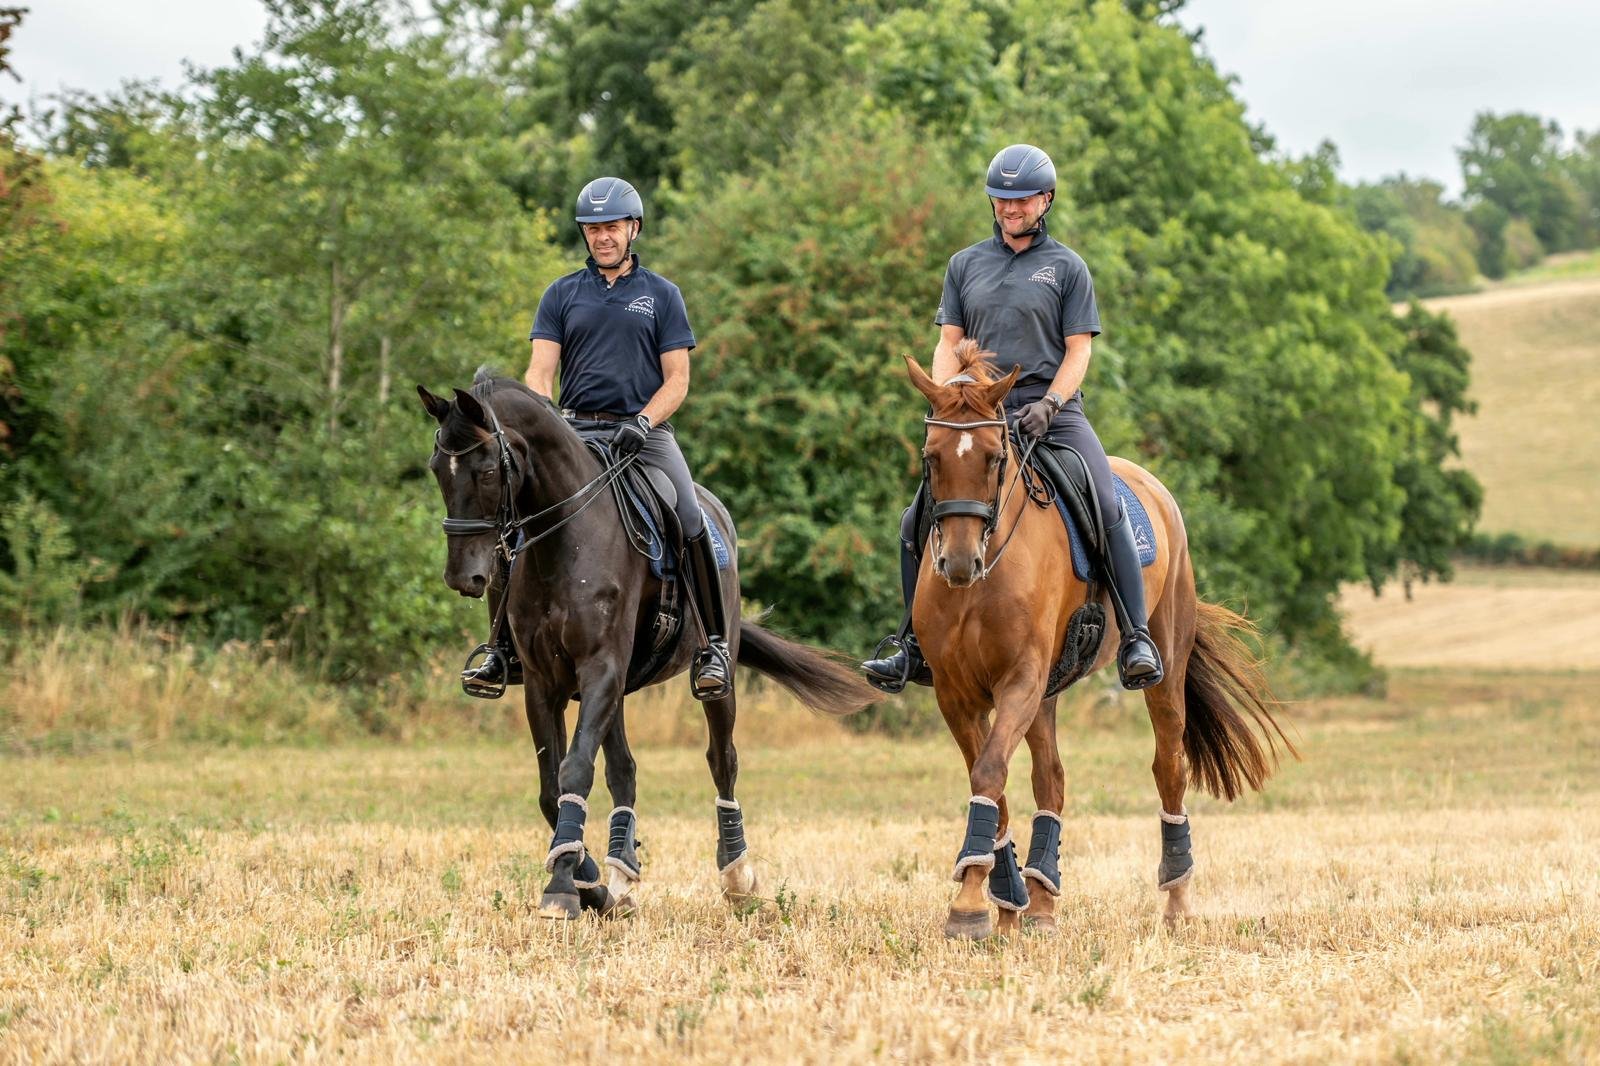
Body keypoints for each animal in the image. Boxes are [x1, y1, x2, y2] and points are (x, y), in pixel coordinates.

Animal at [418, 372, 876, 919]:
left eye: (487, 470)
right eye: (437, 470)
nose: (462, 577)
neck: (566, 540)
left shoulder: (601, 668)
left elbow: (574, 771)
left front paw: (562, 887)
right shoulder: (545, 683)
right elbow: (553, 787)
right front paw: (587, 880)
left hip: (712, 676)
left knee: (722, 759)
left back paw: (737, 876)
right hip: (613, 690)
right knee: (624, 771)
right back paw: (621, 873)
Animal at [904, 341, 1296, 938]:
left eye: (995, 457)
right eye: (932, 458)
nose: (960, 563)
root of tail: (1151, 485)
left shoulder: (1020, 678)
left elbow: (990, 771)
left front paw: (969, 904)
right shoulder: (956, 690)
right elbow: (990, 779)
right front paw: (995, 895)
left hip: (1161, 665)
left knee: (1168, 767)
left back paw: (1176, 899)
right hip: (1047, 692)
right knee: (1052, 779)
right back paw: (1035, 900)